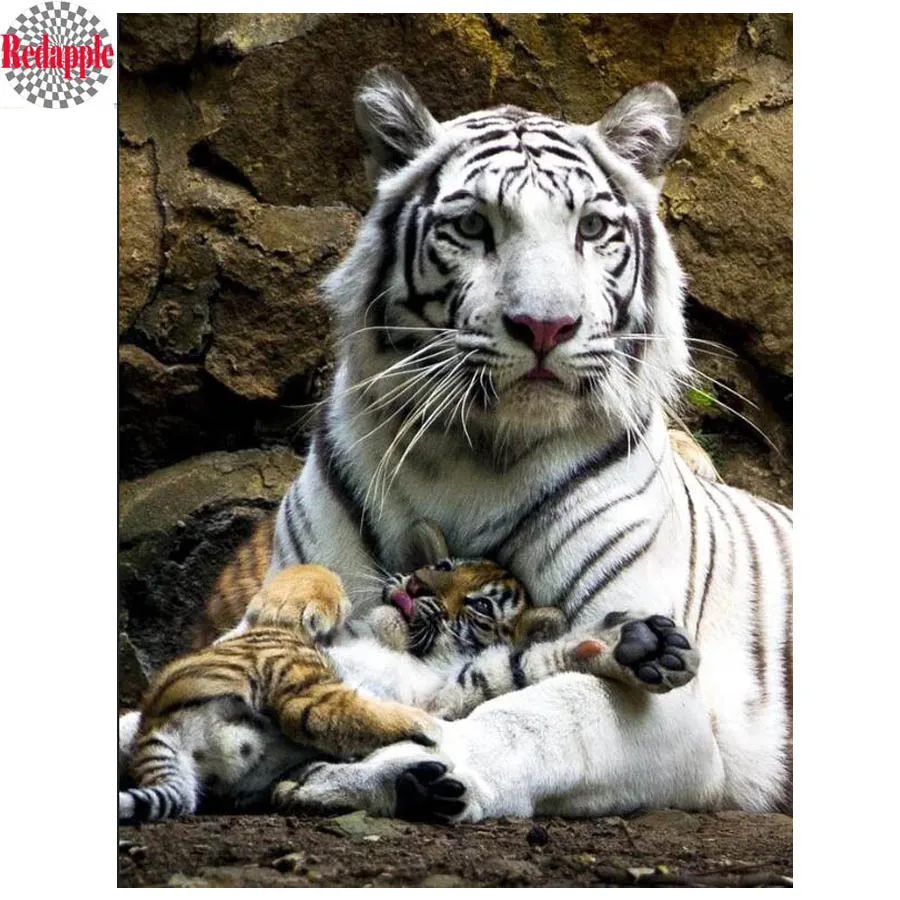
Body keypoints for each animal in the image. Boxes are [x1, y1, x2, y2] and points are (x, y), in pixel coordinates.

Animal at [122, 554, 698, 822]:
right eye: (443, 566)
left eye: (480, 605)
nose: (417, 583)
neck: (399, 646)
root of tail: (163, 723)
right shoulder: (246, 635)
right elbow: (315, 571)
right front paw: (291, 603)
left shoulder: (448, 690)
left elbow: (514, 664)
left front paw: (641, 648)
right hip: (280, 664)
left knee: (315, 726)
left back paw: (419, 786)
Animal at [205, 66, 793, 824]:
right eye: (472, 225)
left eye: (591, 227)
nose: (546, 327)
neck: (473, 453)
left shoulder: (671, 709)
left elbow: (528, 721)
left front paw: (369, 773)